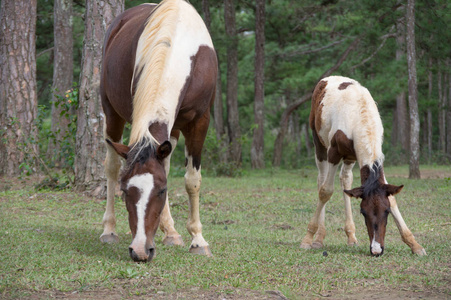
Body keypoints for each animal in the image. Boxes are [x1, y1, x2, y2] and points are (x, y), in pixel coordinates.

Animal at [99, 0, 219, 262]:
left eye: (162, 190)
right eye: (126, 191)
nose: (140, 251)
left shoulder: (200, 121)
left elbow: (192, 180)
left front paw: (198, 240)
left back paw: (171, 232)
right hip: (111, 111)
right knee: (111, 166)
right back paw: (109, 230)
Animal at [302, 76, 426, 256]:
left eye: (386, 211)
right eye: (363, 212)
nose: (376, 249)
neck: (359, 116)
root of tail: (327, 79)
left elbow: (392, 198)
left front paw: (414, 244)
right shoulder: (333, 153)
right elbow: (326, 191)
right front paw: (308, 238)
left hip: (350, 157)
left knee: (345, 179)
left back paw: (351, 236)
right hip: (319, 143)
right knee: (321, 181)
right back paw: (319, 238)